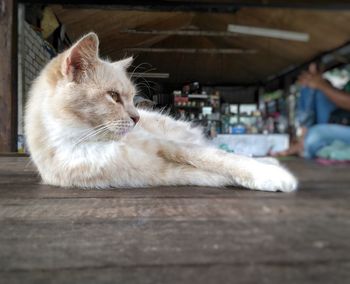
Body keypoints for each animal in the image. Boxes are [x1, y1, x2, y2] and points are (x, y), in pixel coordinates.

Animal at [24, 32, 298, 193]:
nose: (137, 118)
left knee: (220, 149)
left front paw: (273, 175)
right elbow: (216, 173)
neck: (84, 141)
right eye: (114, 97)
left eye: (131, 99)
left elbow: (224, 160)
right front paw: (265, 177)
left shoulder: (168, 147)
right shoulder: (160, 172)